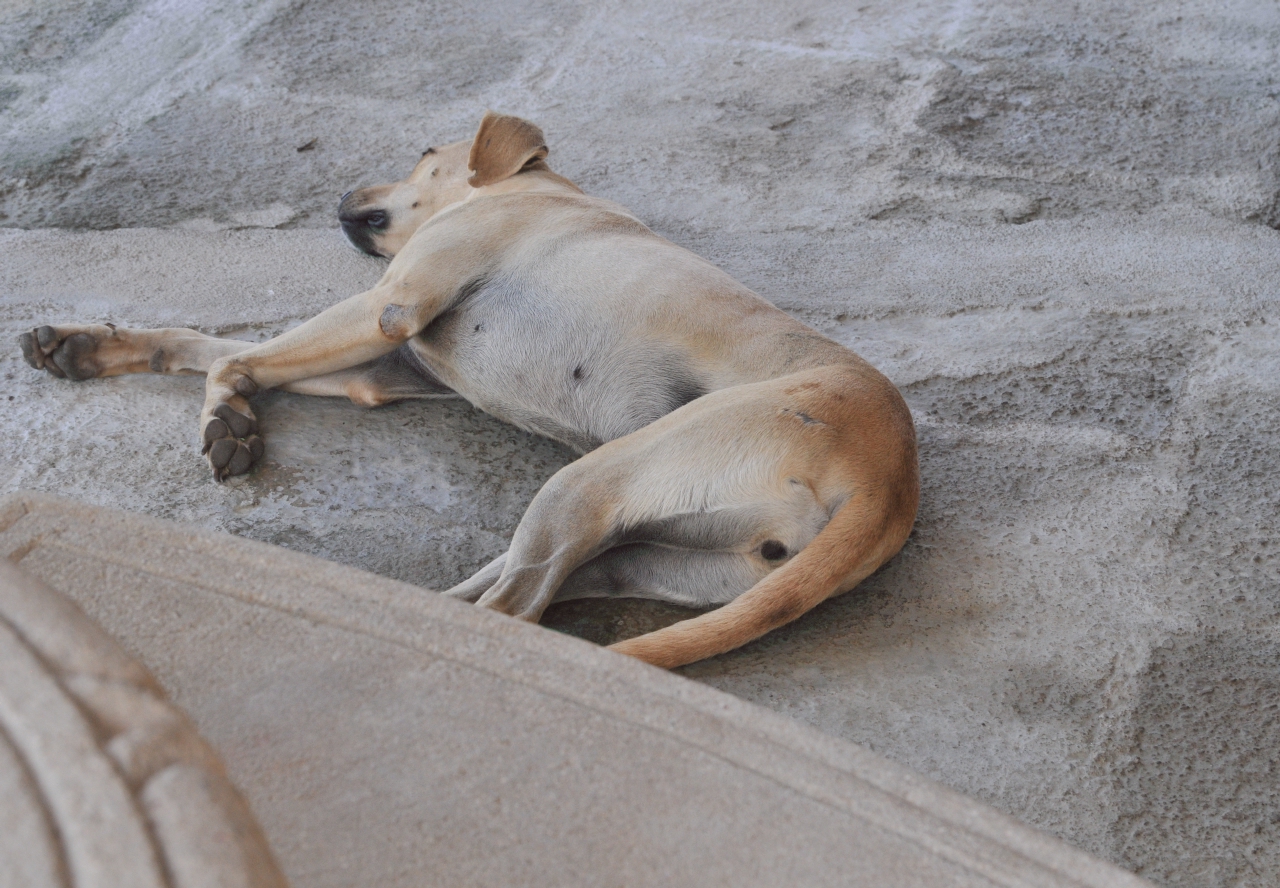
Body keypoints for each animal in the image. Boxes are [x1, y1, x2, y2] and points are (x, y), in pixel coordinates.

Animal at [20, 113, 921, 665]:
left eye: (423, 157)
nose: (340, 195)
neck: (532, 186)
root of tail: (891, 483)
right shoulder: (383, 369)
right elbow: (211, 347)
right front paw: (89, 348)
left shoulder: (391, 308)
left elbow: (225, 360)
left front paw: (225, 414)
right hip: (644, 555)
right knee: (516, 600)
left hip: (591, 482)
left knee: (510, 614)